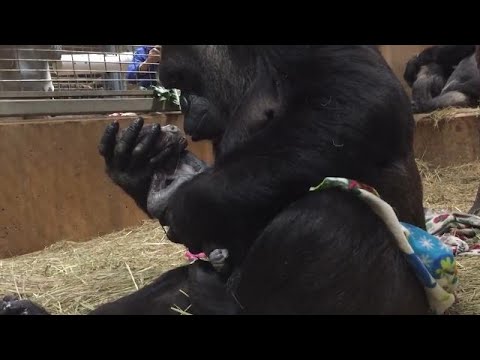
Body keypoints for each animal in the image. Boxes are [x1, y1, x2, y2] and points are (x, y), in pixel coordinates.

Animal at [0, 45, 432, 316]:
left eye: (181, 79)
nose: (186, 108)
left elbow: (357, 98)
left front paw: (191, 203)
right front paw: (139, 173)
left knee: (327, 218)